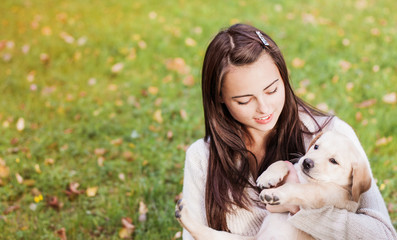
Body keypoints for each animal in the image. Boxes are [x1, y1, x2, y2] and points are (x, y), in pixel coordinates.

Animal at [176, 131, 372, 240]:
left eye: (333, 161)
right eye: (316, 147)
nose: (307, 162)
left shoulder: (328, 193)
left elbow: (300, 189)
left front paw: (276, 194)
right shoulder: (296, 165)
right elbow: (283, 162)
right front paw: (267, 176)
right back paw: (182, 213)